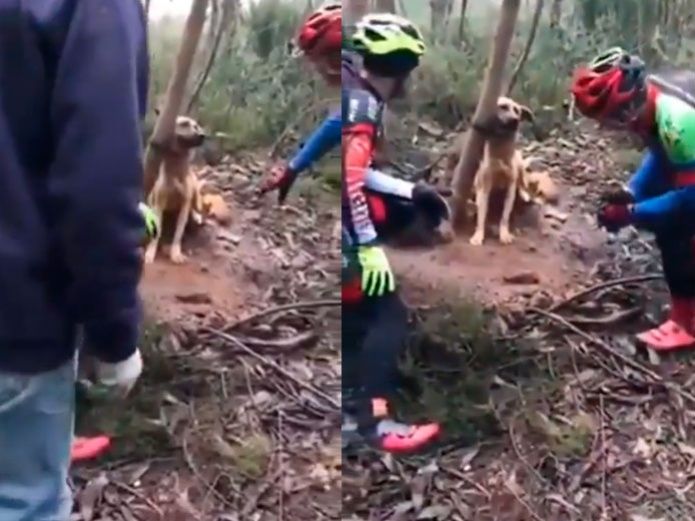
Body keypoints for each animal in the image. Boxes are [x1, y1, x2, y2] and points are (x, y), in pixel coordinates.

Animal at [143, 115, 204, 264]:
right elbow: (157, 231)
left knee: (197, 205)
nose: (202, 135)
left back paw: (197, 216)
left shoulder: (185, 204)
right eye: (184, 124)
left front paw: (175, 253)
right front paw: (151, 252)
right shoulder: (159, 204)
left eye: (196, 126)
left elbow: (178, 233)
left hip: (195, 193)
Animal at [470, 96, 536, 246]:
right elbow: (482, 215)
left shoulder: (510, 188)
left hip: (520, 164)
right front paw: (478, 235)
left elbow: (505, 216)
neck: (501, 152)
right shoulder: (485, 188)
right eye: (503, 107)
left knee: (522, 181)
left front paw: (504, 233)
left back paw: (524, 193)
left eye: (517, 111)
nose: (515, 120)